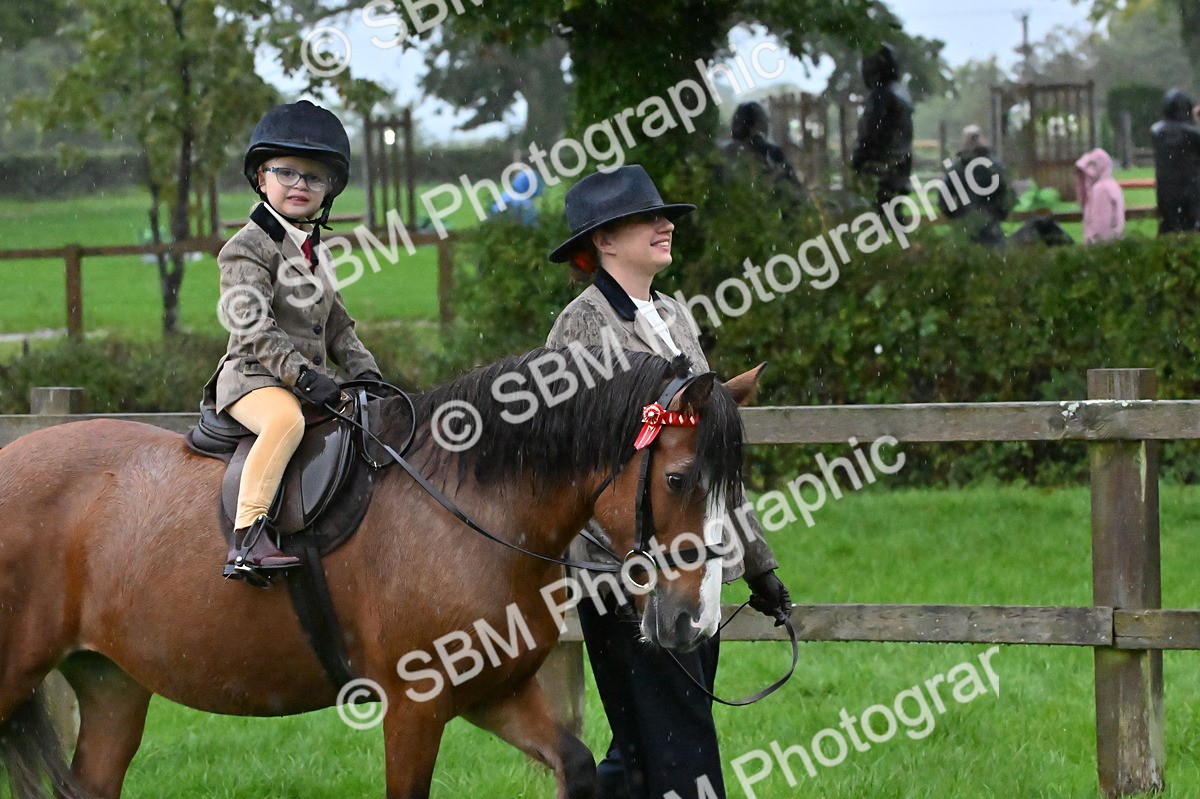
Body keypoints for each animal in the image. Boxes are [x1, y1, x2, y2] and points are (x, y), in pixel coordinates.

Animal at [0, 348, 761, 799]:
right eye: (678, 479)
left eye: (734, 485)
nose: (693, 619)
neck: (468, 503)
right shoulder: (414, 708)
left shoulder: (497, 693)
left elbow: (574, 764)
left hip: (111, 685)